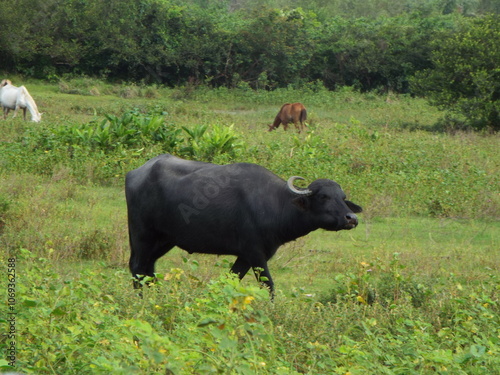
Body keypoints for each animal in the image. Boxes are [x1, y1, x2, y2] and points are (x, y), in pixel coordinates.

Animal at [123, 154, 362, 296]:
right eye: (323, 196)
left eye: (342, 197)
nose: (351, 218)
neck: (276, 203)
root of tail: (135, 173)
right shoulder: (255, 253)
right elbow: (268, 284)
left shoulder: (246, 256)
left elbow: (231, 280)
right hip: (142, 234)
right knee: (137, 267)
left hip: (164, 239)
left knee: (149, 268)